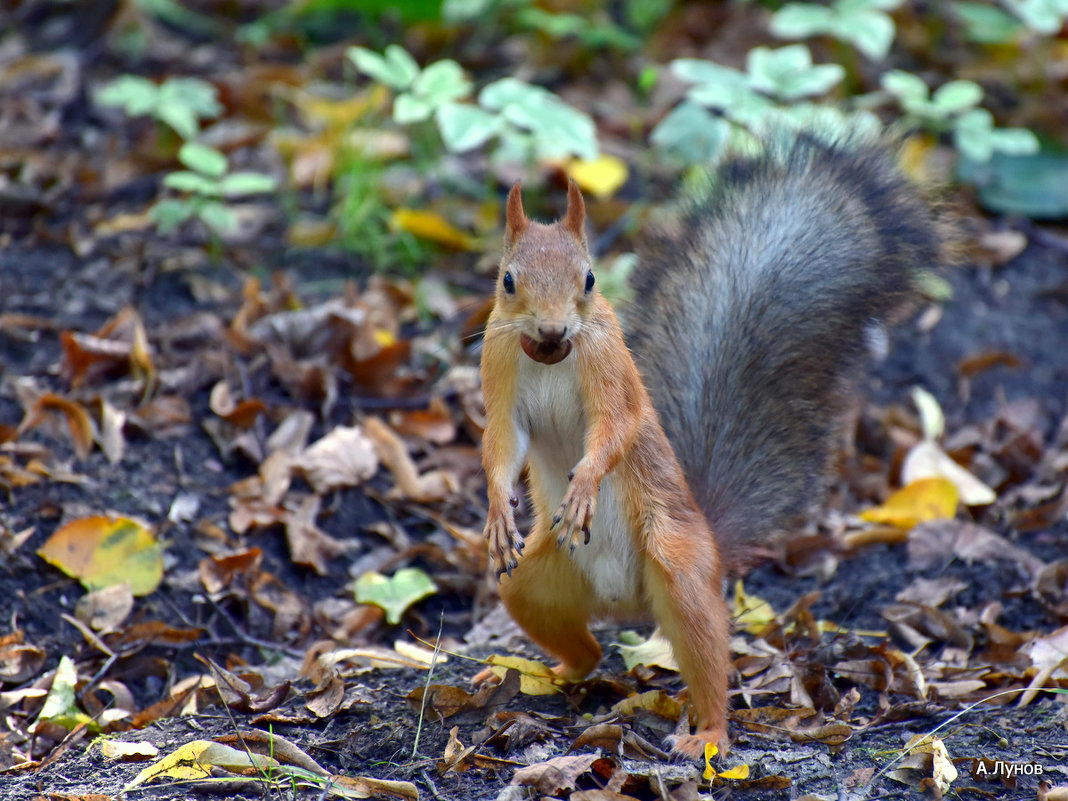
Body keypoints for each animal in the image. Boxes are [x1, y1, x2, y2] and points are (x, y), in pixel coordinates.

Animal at [476, 131, 952, 760]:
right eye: (508, 279)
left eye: (590, 279)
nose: (552, 329)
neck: (552, 356)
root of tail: (627, 602)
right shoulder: (500, 370)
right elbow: (502, 445)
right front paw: (498, 511)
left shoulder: (611, 372)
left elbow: (615, 428)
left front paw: (583, 488)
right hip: (533, 584)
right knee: (587, 650)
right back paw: (546, 673)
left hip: (678, 567)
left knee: (704, 657)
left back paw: (710, 734)